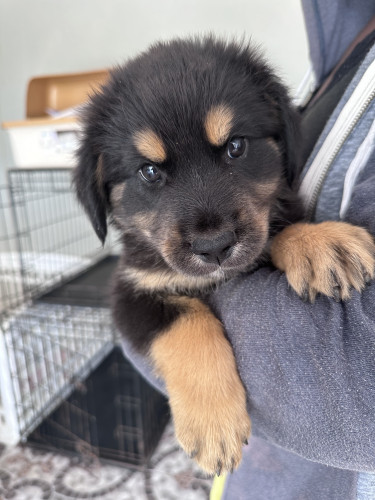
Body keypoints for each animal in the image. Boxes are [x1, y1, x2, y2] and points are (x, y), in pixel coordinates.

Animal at [74, 37, 375, 474]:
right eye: (149, 171)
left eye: (236, 146)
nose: (214, 246)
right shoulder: (132, 292)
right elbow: (188, 322)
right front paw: (213, 423)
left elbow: (277, 228)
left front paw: (319, 243)